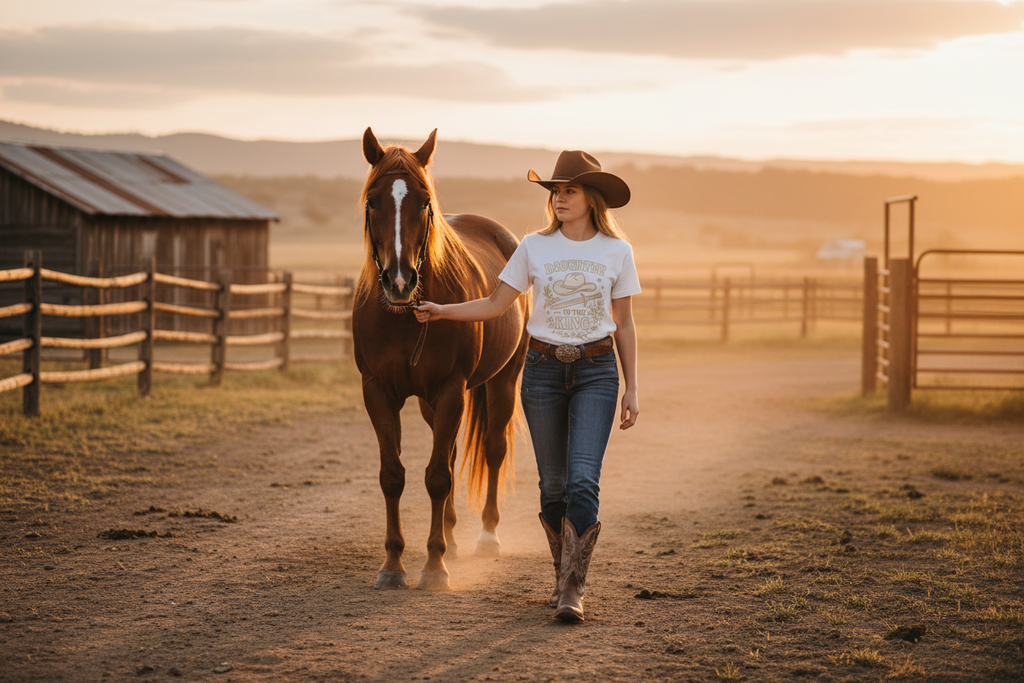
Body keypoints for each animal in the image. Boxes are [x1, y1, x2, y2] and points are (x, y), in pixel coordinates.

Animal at [352, 128, 530, 591]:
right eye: (372, 200)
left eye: (424, 201)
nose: (399, 281)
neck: (402, 317)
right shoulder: (377, 392)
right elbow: (394, 475)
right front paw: (393, 564)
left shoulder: (452, 389)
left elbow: (436, 476)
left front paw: (434, 566)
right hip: (433, 403)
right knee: (446, 451)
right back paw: (448, 532)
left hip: (503, 381)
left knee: (492, 448)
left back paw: (486, 536)